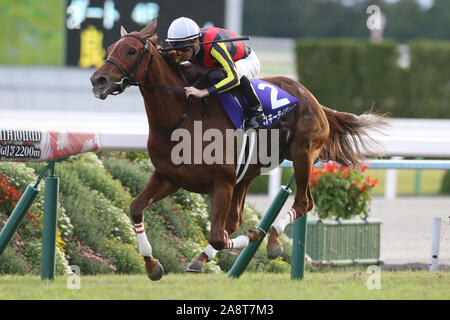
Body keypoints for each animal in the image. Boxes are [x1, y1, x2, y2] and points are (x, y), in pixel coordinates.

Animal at [90, 20, 386, 280]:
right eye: (110, 48)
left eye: (131, 50)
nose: (98, 80)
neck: (182, 114)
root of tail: (312, 98)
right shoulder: (169, 177)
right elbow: (136, 208)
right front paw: (152, 265)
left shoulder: (221, 183)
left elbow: (218, 237)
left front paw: (256, 235)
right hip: (247, 173)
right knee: (235, 219)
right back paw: (203, 258)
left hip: (302, 154)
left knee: (303, 202)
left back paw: (273, 239)